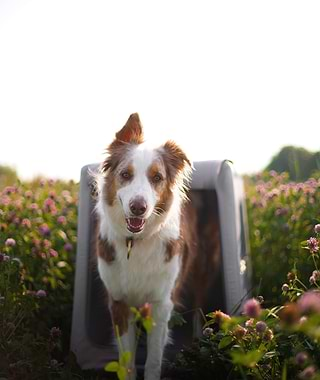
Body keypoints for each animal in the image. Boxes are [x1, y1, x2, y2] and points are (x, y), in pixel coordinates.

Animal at [94, 114, 200, 380]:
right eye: (125, 174)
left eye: (157, 178)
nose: (138, 208)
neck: (136, 241)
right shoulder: (119, 302)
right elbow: (127, 361)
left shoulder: (161, 303)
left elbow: (153, 361)